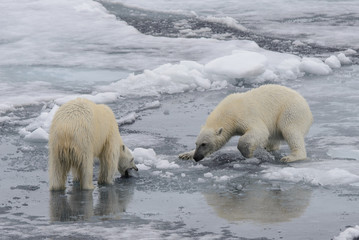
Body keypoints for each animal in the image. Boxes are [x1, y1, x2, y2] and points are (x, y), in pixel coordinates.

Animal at [179, 85, 314, 163]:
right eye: (196, 143)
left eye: (204, 144)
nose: (196, 157)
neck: (228, 112)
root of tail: (307, 107)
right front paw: (185, 154)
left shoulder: (244, 115)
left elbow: (259, 131)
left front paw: (248, 153)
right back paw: (267, 147)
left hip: (291, 111)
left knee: (291, 131)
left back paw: (291, 157)